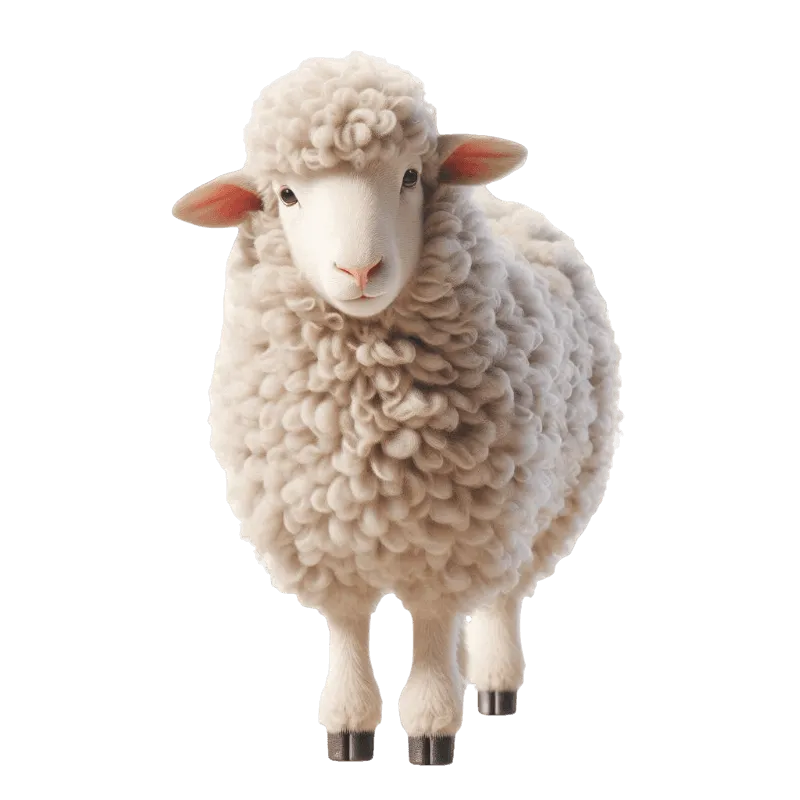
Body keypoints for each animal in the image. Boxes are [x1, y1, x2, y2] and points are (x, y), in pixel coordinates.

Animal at [174, 51, 621, 766]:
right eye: (287, 196)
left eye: (411, 175)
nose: (359, 271)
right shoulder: (320, 532)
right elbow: (350, 626)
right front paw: (348, 728)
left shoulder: (459, 533)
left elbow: (433, 627)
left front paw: (432, 726)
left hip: (546, 500)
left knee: (504, 599)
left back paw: (496, 688)